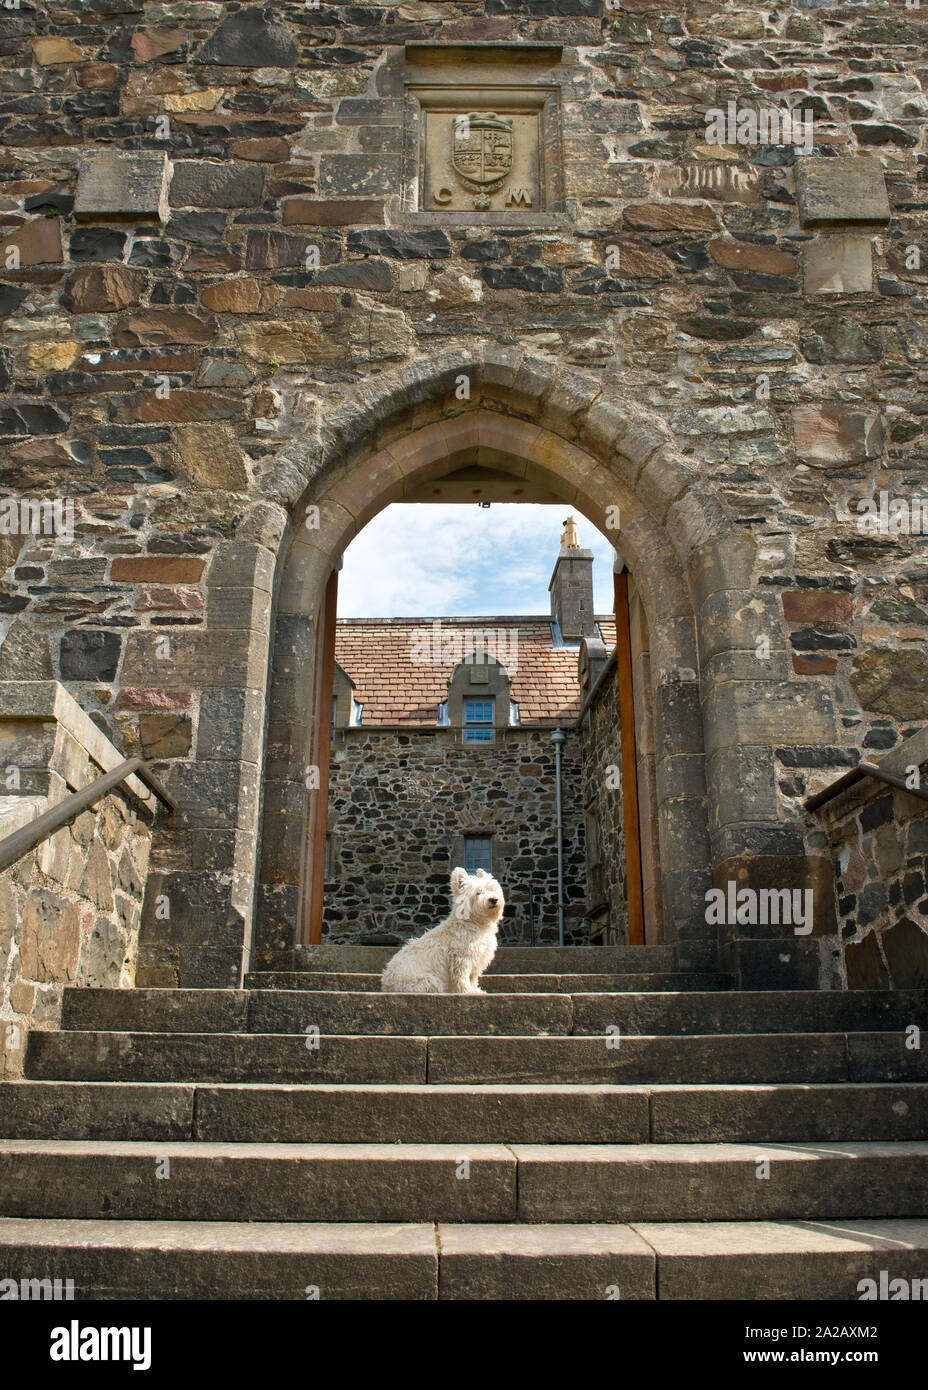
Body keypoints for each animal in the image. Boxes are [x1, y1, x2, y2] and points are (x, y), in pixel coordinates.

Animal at [377, 861, 502, 995]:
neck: (475, 923)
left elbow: (472, 977)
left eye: (492, 889)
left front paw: (475, 990)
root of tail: (386, 984)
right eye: (478, 893)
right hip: (428, 980)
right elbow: (462, 976)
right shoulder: (461, 957)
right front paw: (467, 991)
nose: (494, 899)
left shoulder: (477, 957)